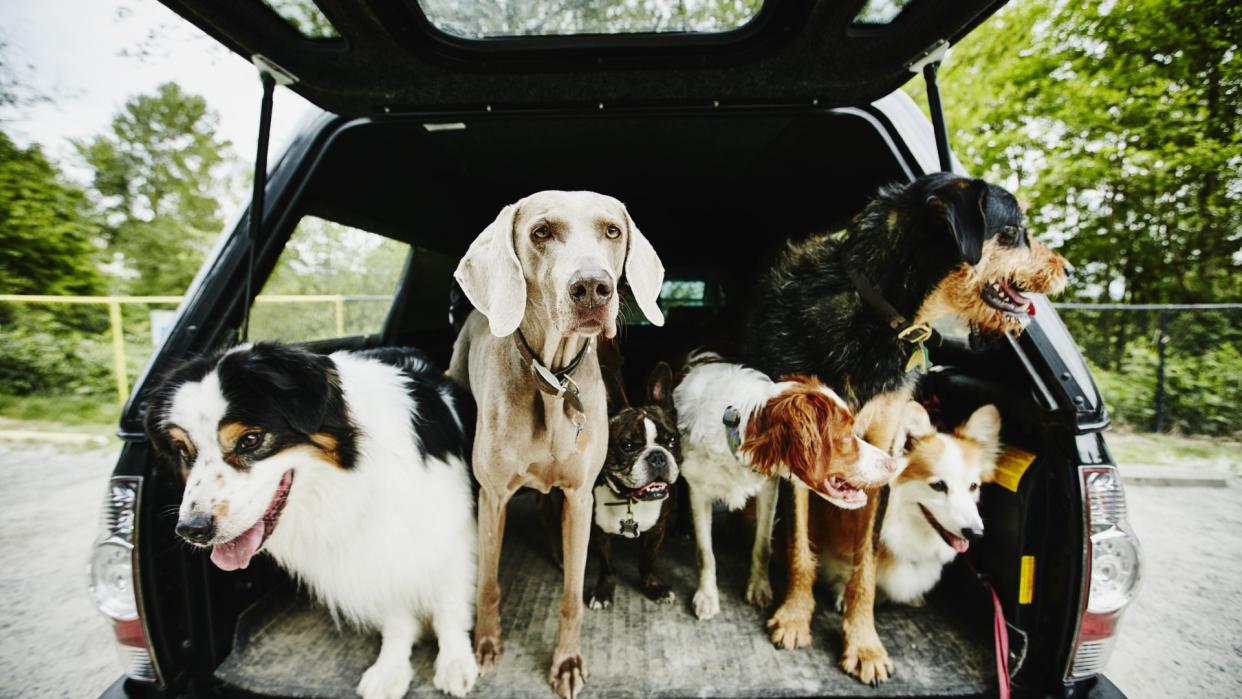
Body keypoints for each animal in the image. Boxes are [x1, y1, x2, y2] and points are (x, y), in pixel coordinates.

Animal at [142, 345, 476, 699]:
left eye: (250, 440)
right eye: (182, 450)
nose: (193, 529)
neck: (355, 473)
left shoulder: (449, 531)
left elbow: (449, 605)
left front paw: (455, 662)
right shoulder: (375, 549)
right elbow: (395, 614)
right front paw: (390, 669)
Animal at [449, 191, 665, 699]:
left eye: (612, 231)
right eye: (541, 232)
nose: (592, 288)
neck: (552, 381)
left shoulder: (580, 496)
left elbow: (572, 591)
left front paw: (567, 662)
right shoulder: (494, 495)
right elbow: (488, 581)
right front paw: (486, 644)